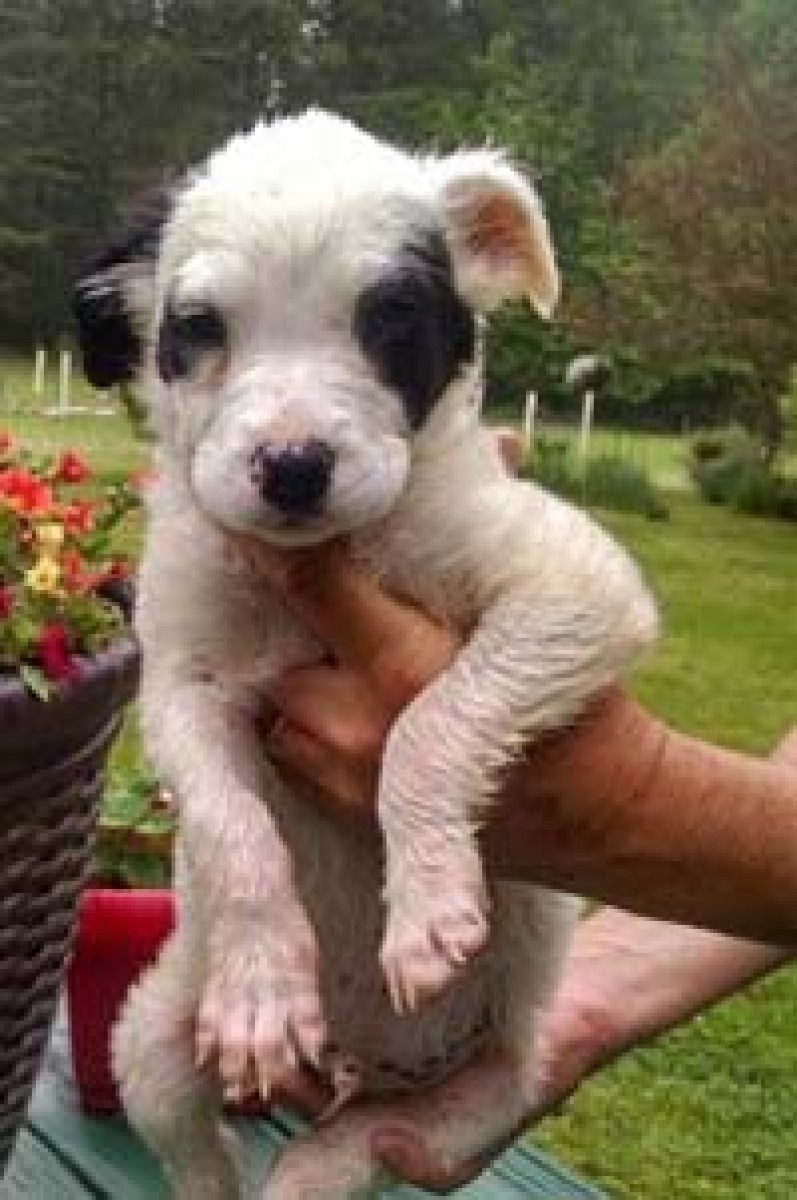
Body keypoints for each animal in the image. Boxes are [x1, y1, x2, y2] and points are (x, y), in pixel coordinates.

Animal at [75, 110, 657, 1199]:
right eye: (199, 328)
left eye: (390, 317)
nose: (293, 467)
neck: (329, 559)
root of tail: (363, 1075)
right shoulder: (178, 684)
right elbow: (233, 827)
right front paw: (263, 988)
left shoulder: (573, 587)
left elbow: (430, 723)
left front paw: (426, 903)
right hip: (151, 1049)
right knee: (203, 1153)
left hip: (466, 1106)